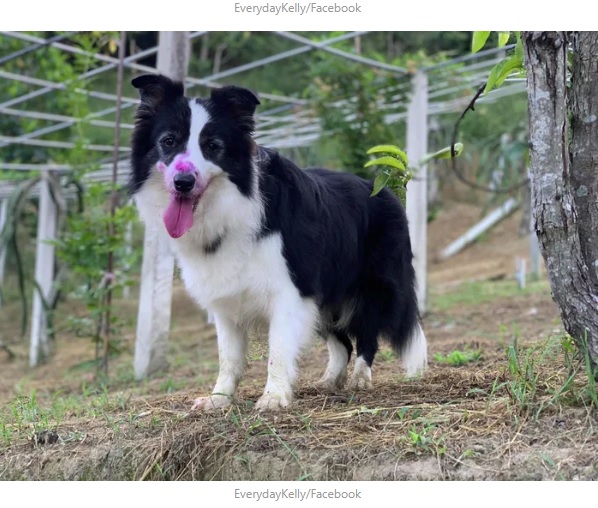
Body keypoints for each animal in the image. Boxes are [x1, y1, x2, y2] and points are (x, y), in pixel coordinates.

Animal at [129, 73, 428, 410]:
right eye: (168, 141)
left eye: (213, 146)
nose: (183, 182)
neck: (232, 205)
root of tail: (385, 191)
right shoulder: (226, 296)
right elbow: (228, 356)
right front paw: (219, 399)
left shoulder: (290, 289)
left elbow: (279, 347)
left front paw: (274, 397)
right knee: (341, 343)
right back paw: (329, 380)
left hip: (372, 284)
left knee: (366, 335)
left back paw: (360, 378)